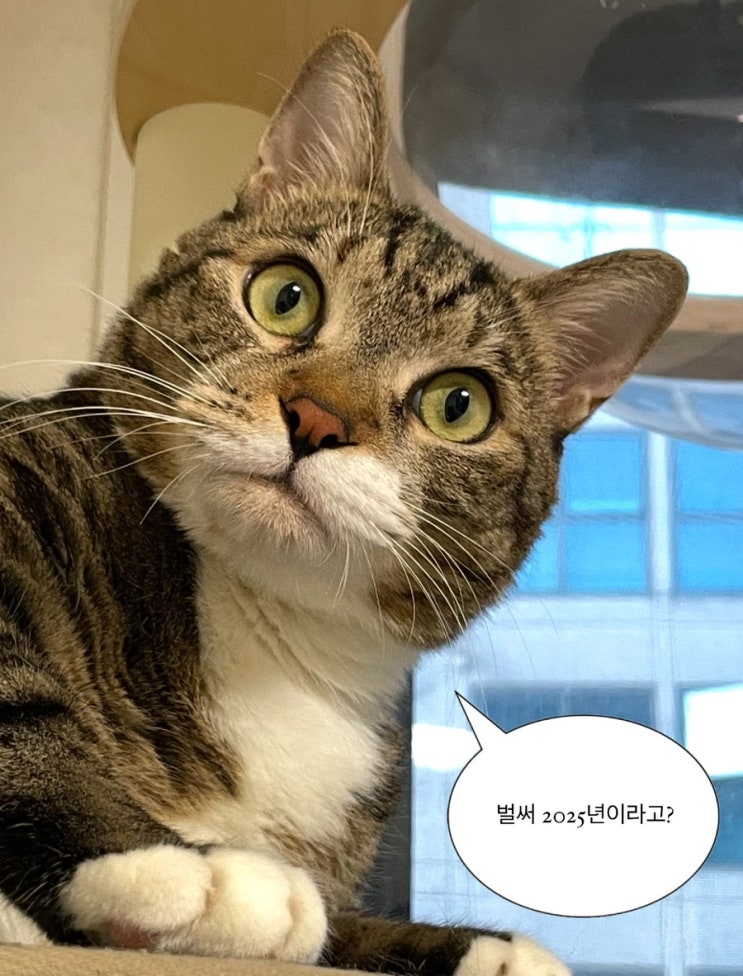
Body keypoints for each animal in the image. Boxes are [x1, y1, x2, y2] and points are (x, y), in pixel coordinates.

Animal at [0, 27, 687, 976]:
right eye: (286, 295)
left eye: (458, 405)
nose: (316, 418)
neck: (275, 642)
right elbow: (20, 705)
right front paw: (172, 868)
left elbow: (336, 928)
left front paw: (479, 947)